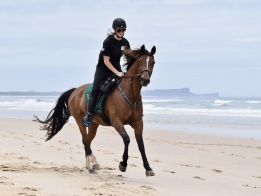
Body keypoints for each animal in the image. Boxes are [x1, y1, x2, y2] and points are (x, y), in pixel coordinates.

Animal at [34, 45, 156, 177]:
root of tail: (75, 90)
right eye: (140, 62)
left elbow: (141, 144)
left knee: (87, 140)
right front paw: (123, 165)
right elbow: (127, 139)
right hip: (80, 120)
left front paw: (148, 168)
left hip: (93, 124)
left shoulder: (138, 123)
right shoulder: (116, 122)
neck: (130, 94)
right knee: (85, 140)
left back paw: (94, 163)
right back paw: (90, 166)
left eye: (153, 62)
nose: (145, 80)